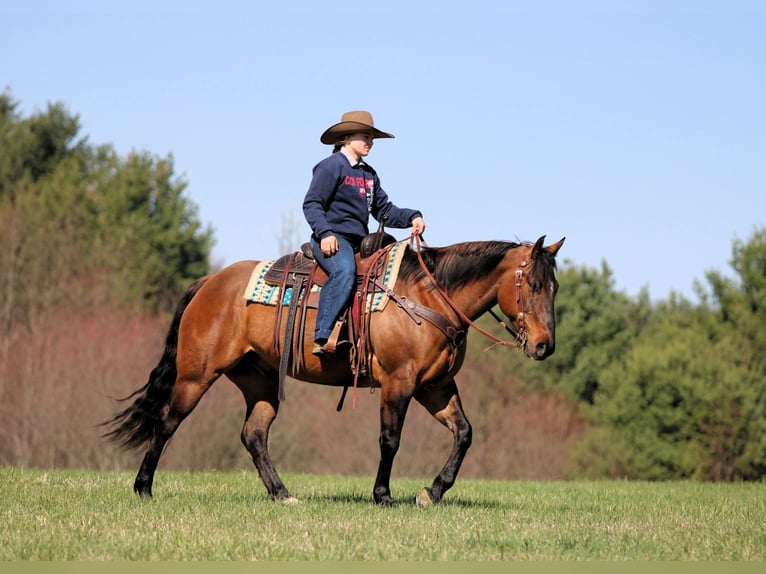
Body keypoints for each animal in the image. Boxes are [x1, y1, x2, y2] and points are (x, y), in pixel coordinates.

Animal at [104, 234, 565, 506]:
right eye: (533, 285)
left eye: (555, 286)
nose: (545, 346)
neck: (427, 297)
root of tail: (210, 282)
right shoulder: (399, 381)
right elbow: (390, 440)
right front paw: (383, 496)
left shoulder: (435, 386)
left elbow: (464, 433)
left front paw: (432, 492)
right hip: (195, 375)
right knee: (167, 422)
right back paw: (143, 488)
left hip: (259, 381)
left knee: (254, 435)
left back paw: (282, 494)